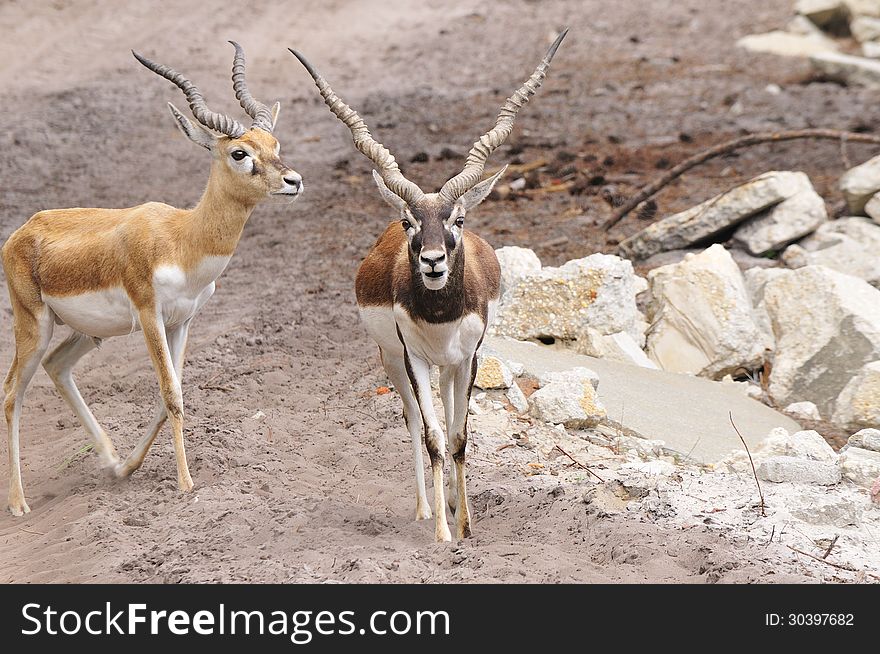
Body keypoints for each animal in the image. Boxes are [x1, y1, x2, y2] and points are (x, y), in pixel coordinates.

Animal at [3, 42, 304, 516]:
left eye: (274, 144)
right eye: (239, 153)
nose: (293, 181)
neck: (183, 238)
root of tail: (23, 231)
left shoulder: (183, 321)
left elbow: (172, 396)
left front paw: (132, 466)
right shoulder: (149, 316)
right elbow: (171, 395)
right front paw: (185, 484)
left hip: (86, 332)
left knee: (56, 366)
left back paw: (112, 463)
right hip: (34, 324)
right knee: (13, 393)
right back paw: (18, 503)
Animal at [294, 29, 572, 544]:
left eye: (457, 219)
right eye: (410, 222)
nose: (432, 261)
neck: (441, 315)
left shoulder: (469, 358)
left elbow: (460, 436)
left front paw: (465, 524)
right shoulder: (414, 358)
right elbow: (433, 437)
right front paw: (443, 532)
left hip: (450, 367)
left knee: (447, 413)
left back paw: (453, 502)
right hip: (392, 361)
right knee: (411, 422)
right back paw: (427, 508)